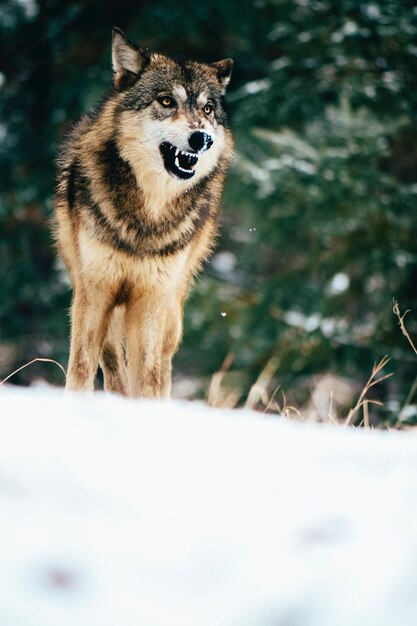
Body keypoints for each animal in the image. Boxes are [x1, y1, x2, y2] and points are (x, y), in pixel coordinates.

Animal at [53, 28, 232, 394]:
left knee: (162, 367)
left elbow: (148, 376)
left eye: (207, 108)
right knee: (111, 361)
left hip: (172, 310)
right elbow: (81, 366)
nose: (202, 138)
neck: (148, 213)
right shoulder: (95, 290)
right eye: (166, 101)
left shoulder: (152, 297)